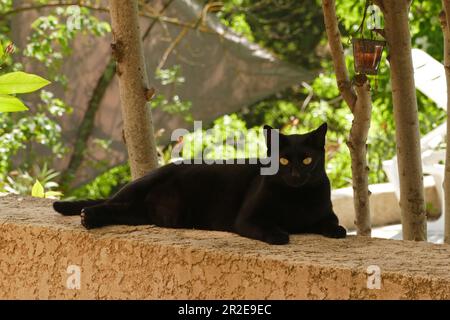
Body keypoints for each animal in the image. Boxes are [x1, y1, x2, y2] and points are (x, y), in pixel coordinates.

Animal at [53, 124, 348, 244]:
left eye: (307, 159)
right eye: (284, 161)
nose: (296, 174)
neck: (295, 198)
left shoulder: (325, 213)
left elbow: (334, 224)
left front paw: (337, 231)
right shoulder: (247, 218)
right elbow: (269, 228)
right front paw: (280, 234)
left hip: (141, 213)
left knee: (117, 210)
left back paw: (90, 218)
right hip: (141, 185)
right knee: (108, 202)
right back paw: (85, 216)